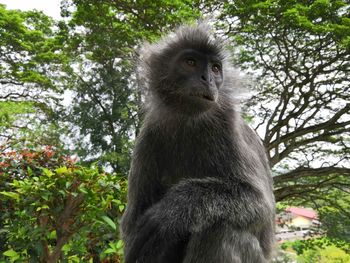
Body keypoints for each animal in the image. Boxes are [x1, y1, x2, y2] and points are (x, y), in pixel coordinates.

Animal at [120, 23, 276, 263]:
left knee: (220, 229)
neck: (188, 119)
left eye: (215, 68)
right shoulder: (149, 133)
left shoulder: (226, 123)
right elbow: (132, 224)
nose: (207, 79)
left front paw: (173, 210)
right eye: (191, 62)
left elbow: (262, 206)